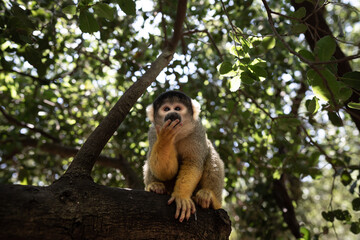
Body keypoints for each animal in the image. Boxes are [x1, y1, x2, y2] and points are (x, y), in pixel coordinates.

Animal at [144, 91, 225, 222]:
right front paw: (165, 138)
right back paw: (155, 186)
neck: (178, 133)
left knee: (210, 153)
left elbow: (193, 163)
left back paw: (210, 198)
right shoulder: (153, 132)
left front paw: (181, 196)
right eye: (166, 109)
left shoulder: (197, 130)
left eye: (177, 108)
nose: (172, 114)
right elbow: (165, 172)